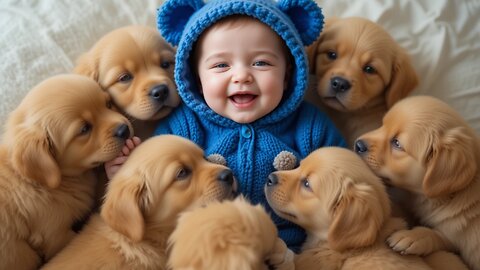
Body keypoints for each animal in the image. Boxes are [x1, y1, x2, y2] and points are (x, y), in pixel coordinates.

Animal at [356, 96, 480, 270]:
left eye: (397, 143)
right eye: (383, 124)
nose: (358, 144)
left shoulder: (458, 238)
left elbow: (438, 235)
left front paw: (411, 237)